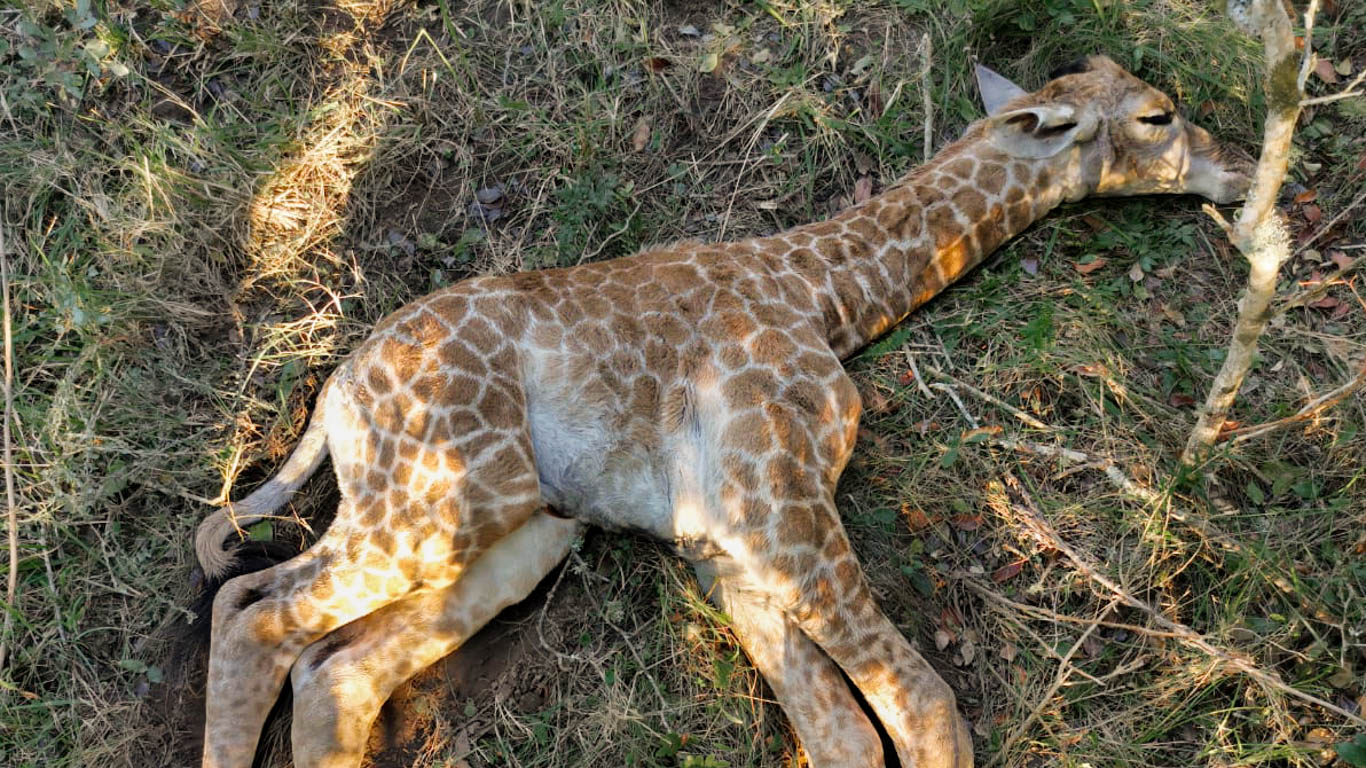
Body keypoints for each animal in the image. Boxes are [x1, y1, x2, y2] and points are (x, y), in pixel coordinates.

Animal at [192, 55, 1251, 765]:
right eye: (1158, 116)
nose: (1244, 170)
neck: (824, 299)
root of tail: (337, 391)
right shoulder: (778, 510)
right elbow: (922, 703)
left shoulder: (724, 545)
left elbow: (846, 737)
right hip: (449, 495)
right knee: (258, 615)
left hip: (525, 531)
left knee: (329, 665)